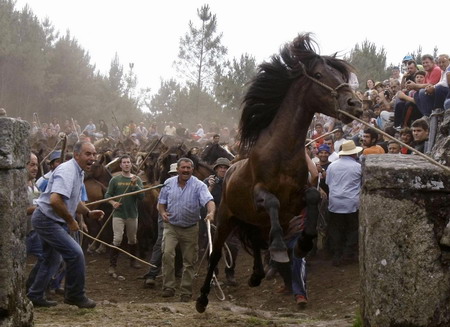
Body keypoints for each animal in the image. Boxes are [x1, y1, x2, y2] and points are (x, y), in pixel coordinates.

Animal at [196, 32, 362, 312]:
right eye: (319, 75)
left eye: (339, 75)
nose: (354, 105)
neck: (282, 151)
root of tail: (227, 174)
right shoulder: (260, 194)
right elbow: (272, 201)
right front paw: (281, 249)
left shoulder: (298, 197)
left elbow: (314, 198)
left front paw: (304, 243)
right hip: (226, 218)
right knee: (217, 254)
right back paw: (202, 299)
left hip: (254, 222)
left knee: (256, 242)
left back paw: (257, 275)